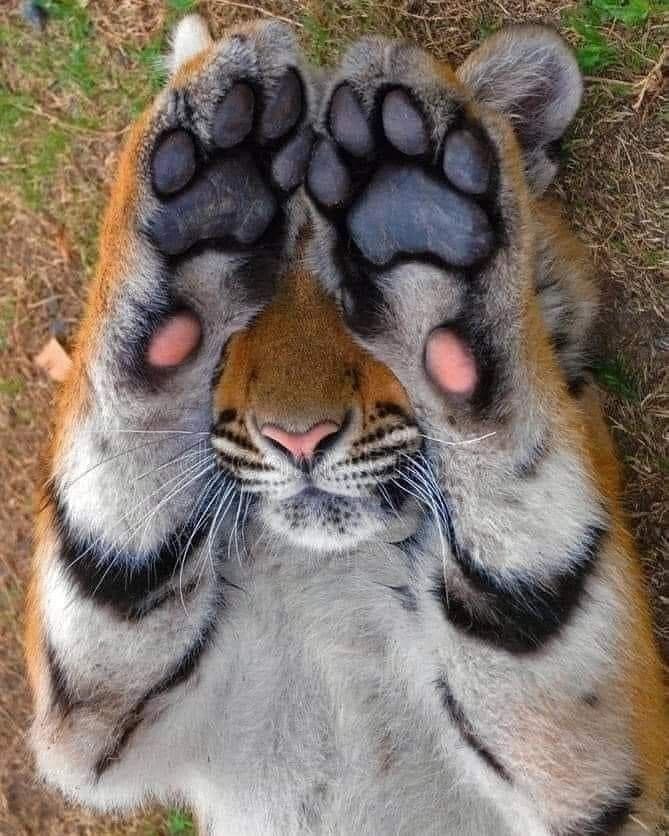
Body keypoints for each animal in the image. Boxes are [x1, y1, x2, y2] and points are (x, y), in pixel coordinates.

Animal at [25, 13, 666, 835]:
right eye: (250, 306)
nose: (298, 440)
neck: (330, 563)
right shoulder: (92, 724)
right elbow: (111, 508)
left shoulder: (608, 768)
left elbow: (525, 546)